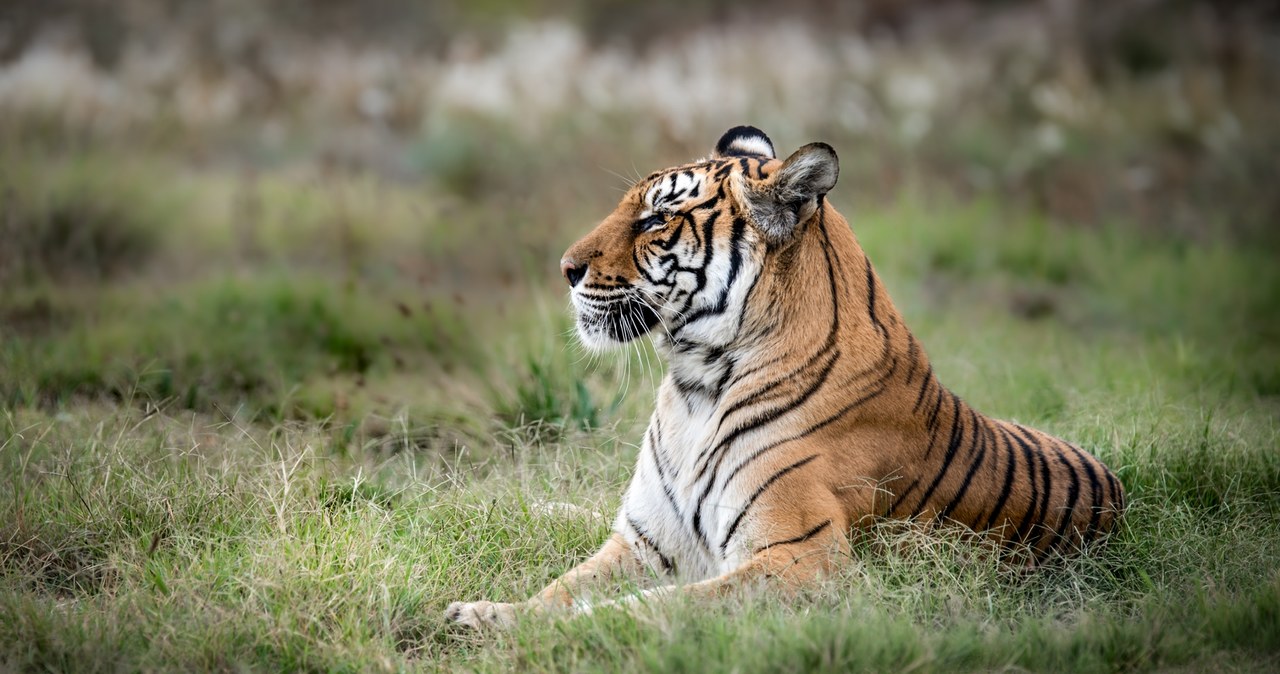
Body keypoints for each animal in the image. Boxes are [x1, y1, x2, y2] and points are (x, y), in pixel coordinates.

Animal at [445, 125, 1126, 626]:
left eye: (655, 220)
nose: (565, 268)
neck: (694, 387)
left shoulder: (803, 558)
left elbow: (648, 608)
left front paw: (537, 634)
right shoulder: (644, 541)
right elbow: (561, 587)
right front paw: (487, 615)